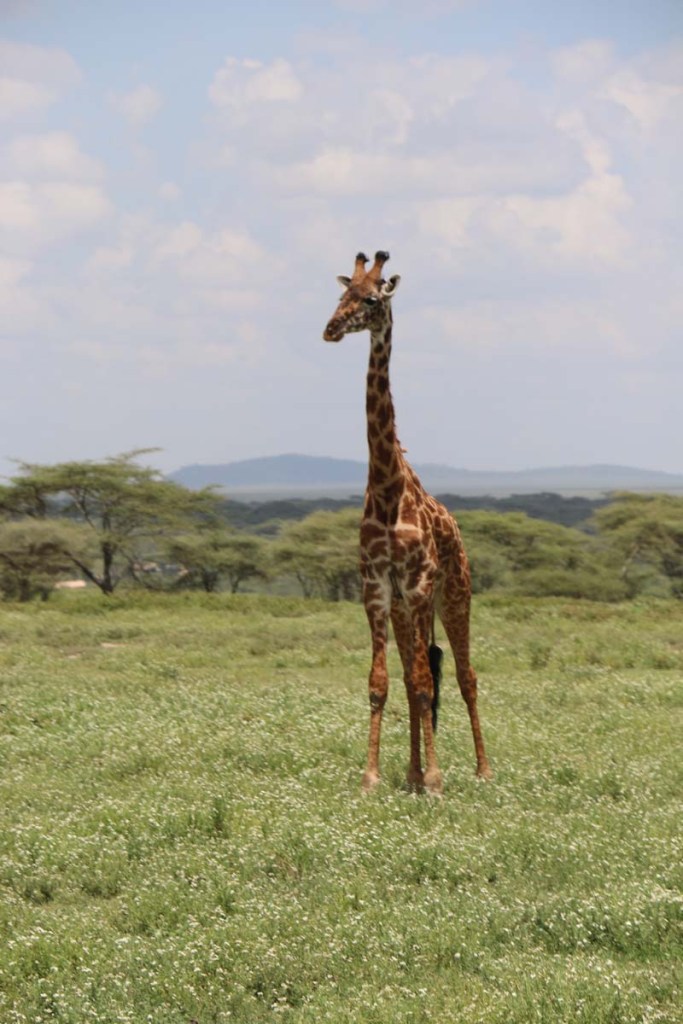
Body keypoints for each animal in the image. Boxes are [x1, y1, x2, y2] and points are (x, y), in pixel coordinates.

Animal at [323, 250, 492, 795]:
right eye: (342, 294)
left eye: (372, 300)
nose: (330, 329)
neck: (387, 488)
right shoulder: (377, 586)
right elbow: (383, 681)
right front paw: (374, 776)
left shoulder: (418, 584)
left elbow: (422, 681)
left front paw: (436, 780)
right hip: (405, 608)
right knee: (417, 669)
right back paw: (413, 773)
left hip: (454, 595)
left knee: (462, 675)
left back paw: (481, 769)